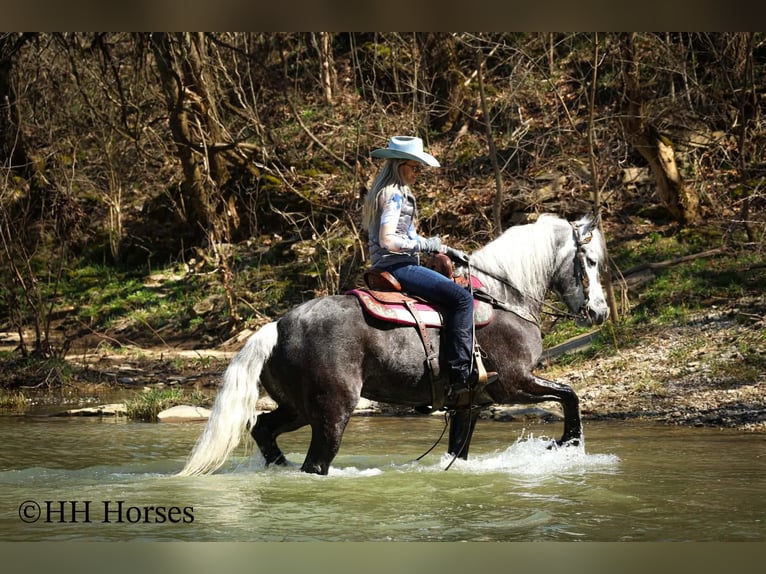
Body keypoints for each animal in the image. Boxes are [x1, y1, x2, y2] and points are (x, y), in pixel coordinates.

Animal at [177, 213, 609, 476]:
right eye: (588, 261)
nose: (600, 312)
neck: (505, 297)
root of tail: (278, 327)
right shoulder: (515, 383)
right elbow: (570, 395)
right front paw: (567, 444)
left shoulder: (469, 404)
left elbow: (458, 452)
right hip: (332, 414)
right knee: (314, 463)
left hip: (296, 409)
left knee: (264, 429)